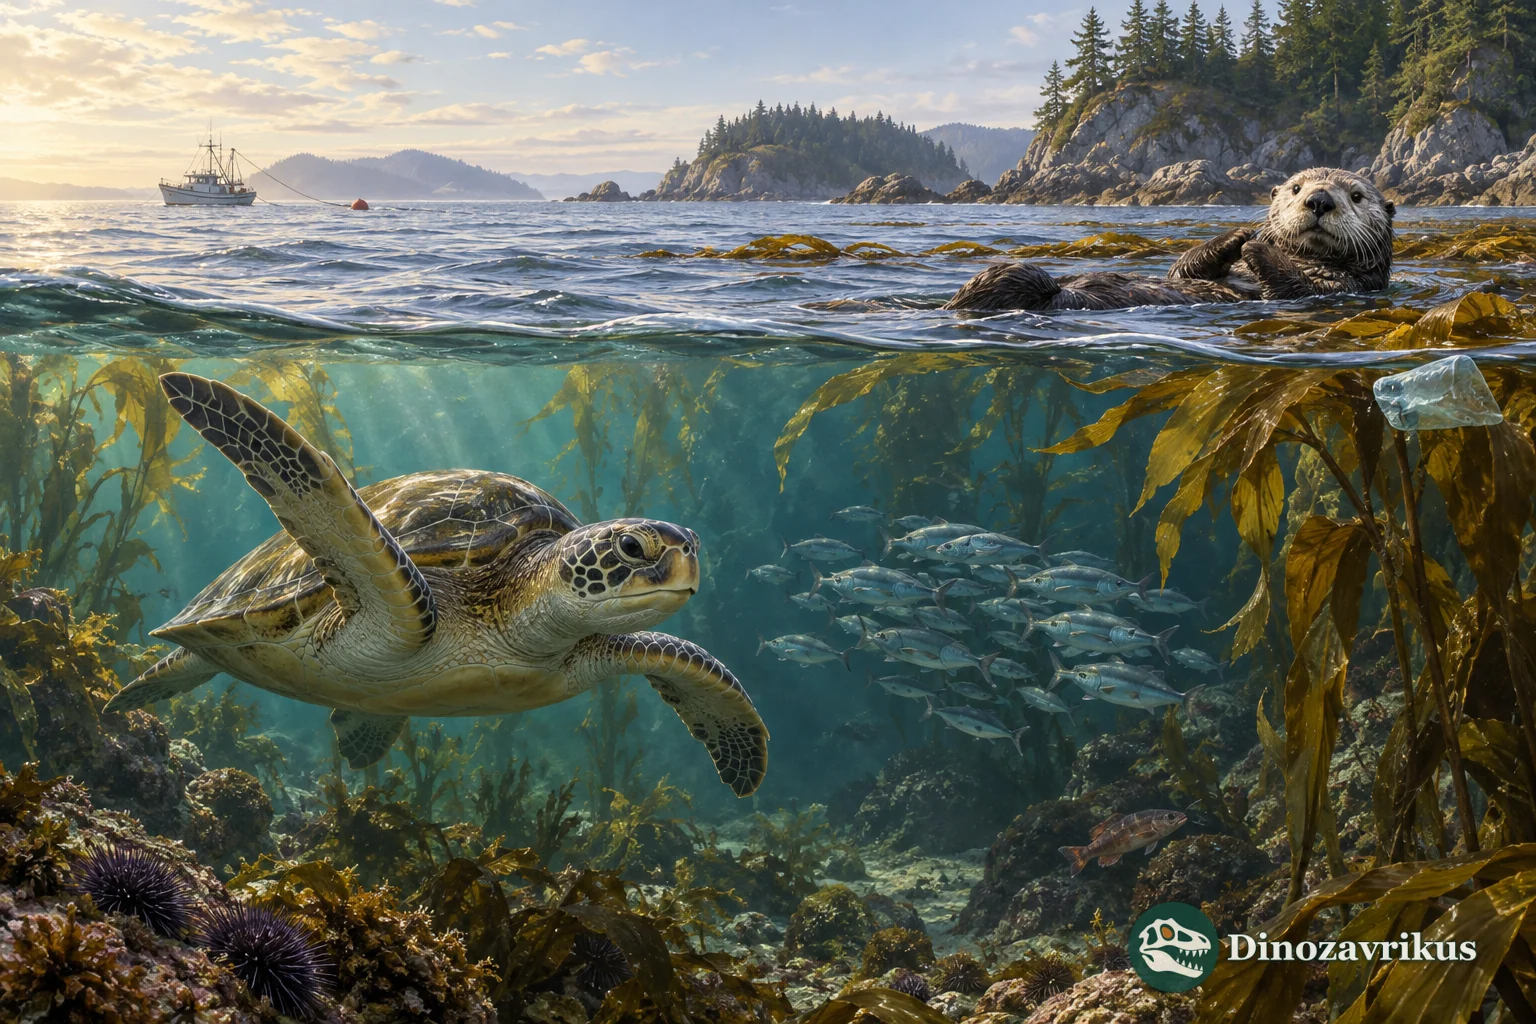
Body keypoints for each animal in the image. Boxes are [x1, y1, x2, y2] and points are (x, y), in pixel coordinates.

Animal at [943, 168, 1395, 312]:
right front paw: (1238, 236)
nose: (1319, 200)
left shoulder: (1342, 286)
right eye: (1297, 188)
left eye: (1356, 196)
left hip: (1020, 284)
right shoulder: (1186, 270)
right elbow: (1182, 268)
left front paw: (1257, 246)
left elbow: (1294, 285)